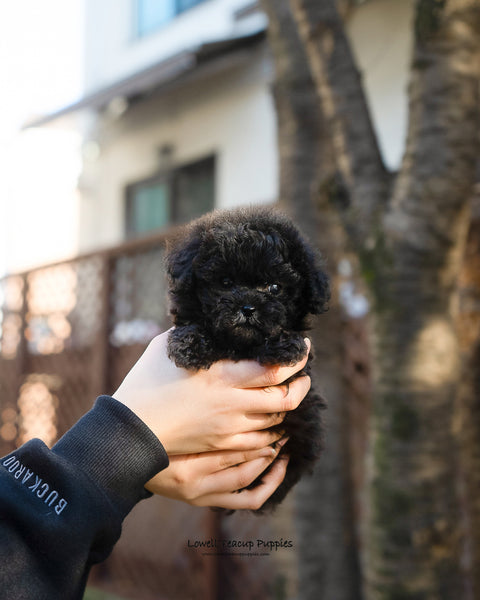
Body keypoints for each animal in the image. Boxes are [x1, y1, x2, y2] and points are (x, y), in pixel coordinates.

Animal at [166, 206, 330, 510]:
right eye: (225, 282)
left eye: (275, 287)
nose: (248, 307)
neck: (239, 345)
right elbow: (192, 323)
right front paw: (188, 343)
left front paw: (284, 344)